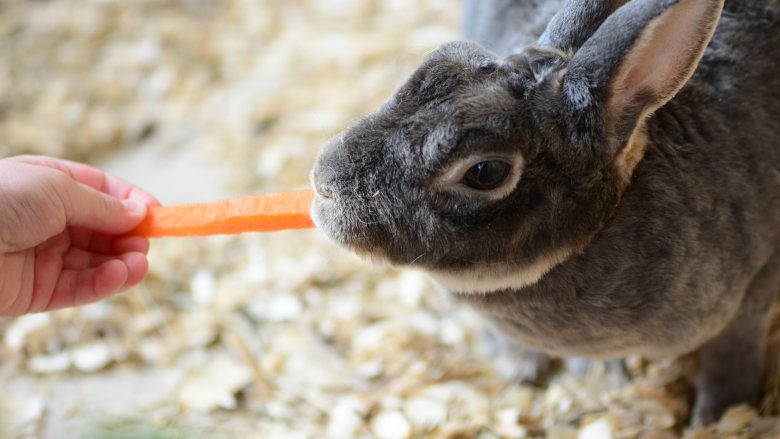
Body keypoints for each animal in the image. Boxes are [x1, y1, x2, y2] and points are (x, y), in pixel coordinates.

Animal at [308, 0, 780, 426]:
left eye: (484, 171)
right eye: (438, 62)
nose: (325, 184)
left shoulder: (754, 292)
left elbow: (730, 356)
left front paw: (718, 417)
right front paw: (591, 375)